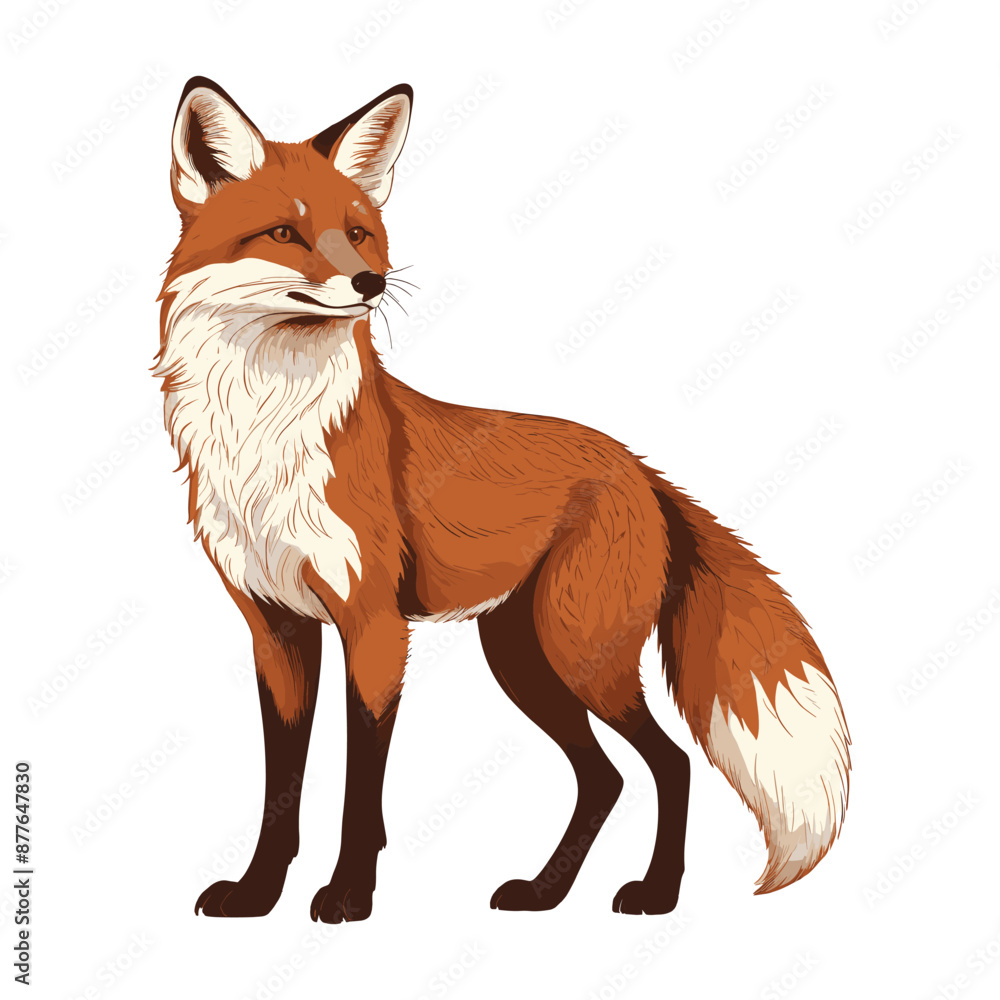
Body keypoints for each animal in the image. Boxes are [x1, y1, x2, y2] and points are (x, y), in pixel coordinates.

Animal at [156, 77, 851, 922]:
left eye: (358, 234)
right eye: (286, 232)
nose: (369, 284)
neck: (264, 433)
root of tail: (638, 466)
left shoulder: (375, 627)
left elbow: (361, 787)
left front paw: (350, 893)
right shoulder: (276, 632)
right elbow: (280, 787)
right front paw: (258, 892)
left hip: (580, 656)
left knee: (670, 762)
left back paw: (655, 892)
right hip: (526, 659)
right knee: (605, 777)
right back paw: (545, 892)